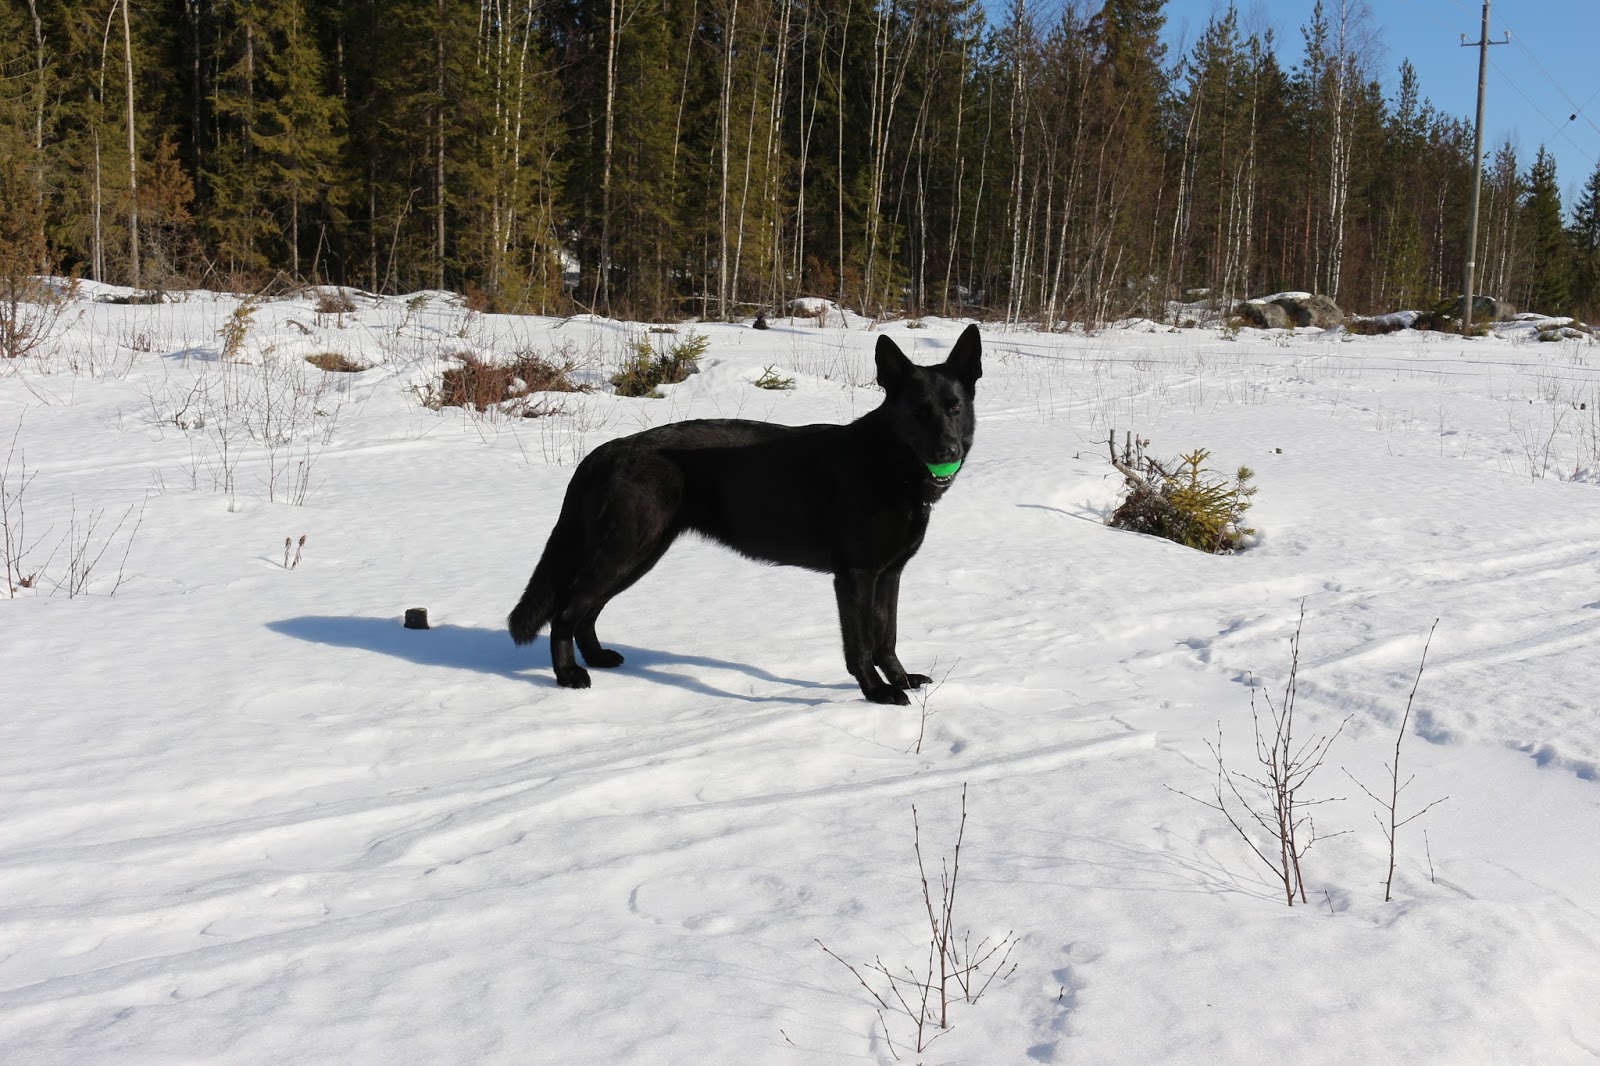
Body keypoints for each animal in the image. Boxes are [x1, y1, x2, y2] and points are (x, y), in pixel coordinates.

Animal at [508, 323, 981, 705]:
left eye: (954, 407)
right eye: (918, 411)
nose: (947, 451)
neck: (884, 464)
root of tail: (605, 452)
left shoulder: (890, 574)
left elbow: (888, 636)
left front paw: (901, 680)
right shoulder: (856, 576)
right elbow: (862, 644)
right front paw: (877, 692)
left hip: (638, 556)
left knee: (586, 611)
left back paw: (597, 658)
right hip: (625, 551)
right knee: (566, 612)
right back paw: (569, 675)